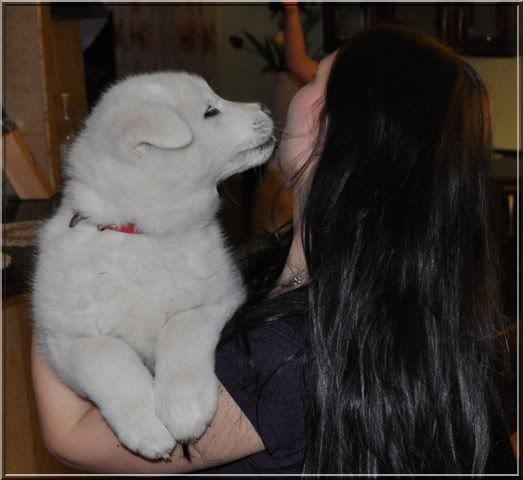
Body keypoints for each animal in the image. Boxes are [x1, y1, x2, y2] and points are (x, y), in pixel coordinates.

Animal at [32, 72, 274, 460]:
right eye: (210, 111)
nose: (266, 107)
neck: (142, 236)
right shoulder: (64, 341)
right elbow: (107, 359)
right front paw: (144, 424)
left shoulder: (221, 299)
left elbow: (180, 327)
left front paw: (182, 407)